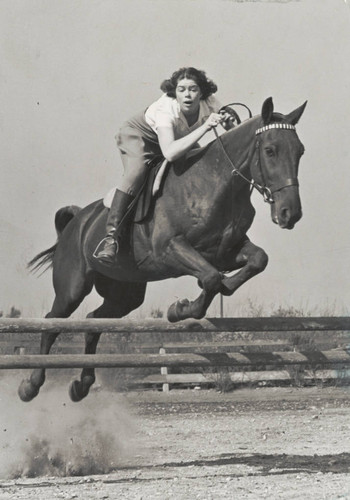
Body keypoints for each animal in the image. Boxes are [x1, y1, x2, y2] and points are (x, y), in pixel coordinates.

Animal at [19, 97, 306, 402]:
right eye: (270, 150)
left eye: (300, 151)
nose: (290, 213)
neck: (216, 183)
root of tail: (77, 221)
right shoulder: (169, 249)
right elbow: (210, 277)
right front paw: (179, 310)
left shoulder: (225, 251)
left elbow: (255, 261)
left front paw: (217, 291)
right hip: (72, 288)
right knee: (52, 323)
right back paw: (31, 385)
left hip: (125, 293)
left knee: (93, 322)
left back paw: (81, 385)